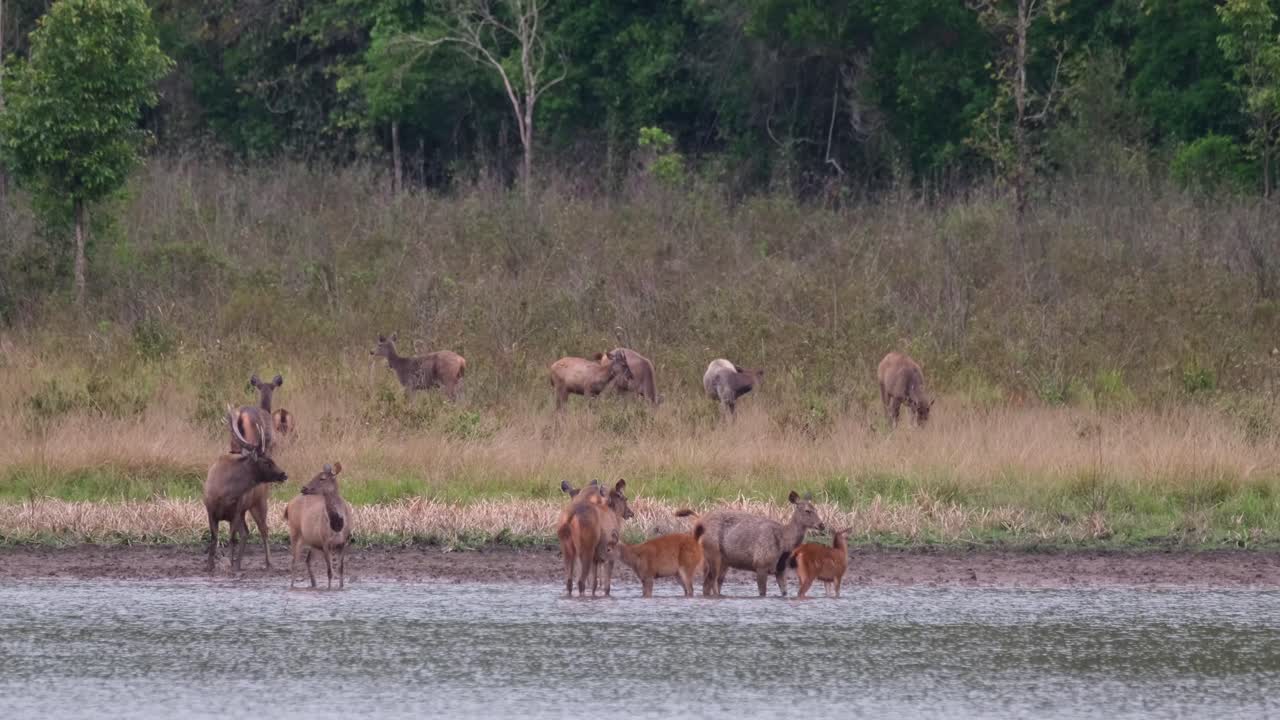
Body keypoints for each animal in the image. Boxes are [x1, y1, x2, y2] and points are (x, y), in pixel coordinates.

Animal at [204, 411, 288, 572]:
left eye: (272, 459)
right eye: (267, 462)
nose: (284, 474)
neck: (224, 492)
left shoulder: (235, 511)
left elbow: (232, 538)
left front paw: (229, 564)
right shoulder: (210, 510)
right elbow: (214, 538)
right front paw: (210, 565)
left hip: (259, 503)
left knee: (263, 529)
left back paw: (268, 562)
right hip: (245, 510)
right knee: (247, 532)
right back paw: (239, 563)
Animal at [688, 491, 825, 597]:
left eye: (816, 509)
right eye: (807, 511)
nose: (822, 525)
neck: (783, 543)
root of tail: (698, 524)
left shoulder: (781, 569)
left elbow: (784, 593)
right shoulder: (760, 564)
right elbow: (762, 593)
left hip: (723, 561)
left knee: (715, 584)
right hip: (713, 552)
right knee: (707, 584)